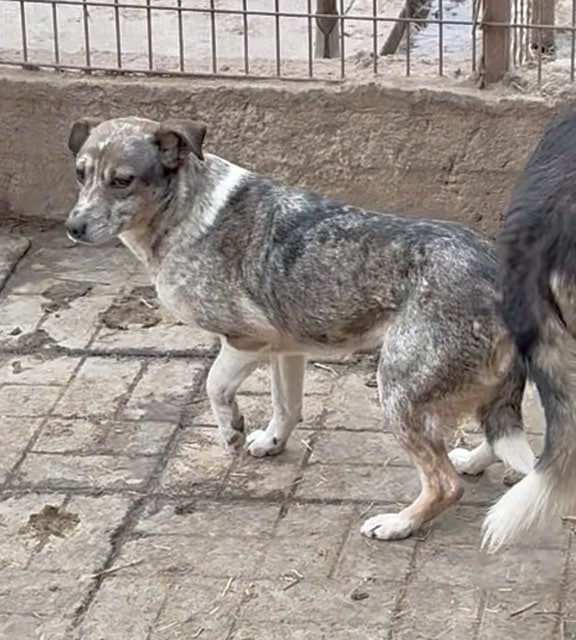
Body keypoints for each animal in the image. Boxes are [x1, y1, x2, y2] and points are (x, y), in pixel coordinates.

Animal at [64, 116, 535, 545]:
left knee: (445, 484)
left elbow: (215, 385)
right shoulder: (285, 348)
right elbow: (286, 405)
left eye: (121, 181)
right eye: (80, 174)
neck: (187, 208)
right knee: (509, 440)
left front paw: (231, 429)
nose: (73, 227)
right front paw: (272, 442)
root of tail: (497, 274)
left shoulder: (245, 339)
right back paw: (474, 462)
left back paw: (399, 523)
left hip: (401, 392)